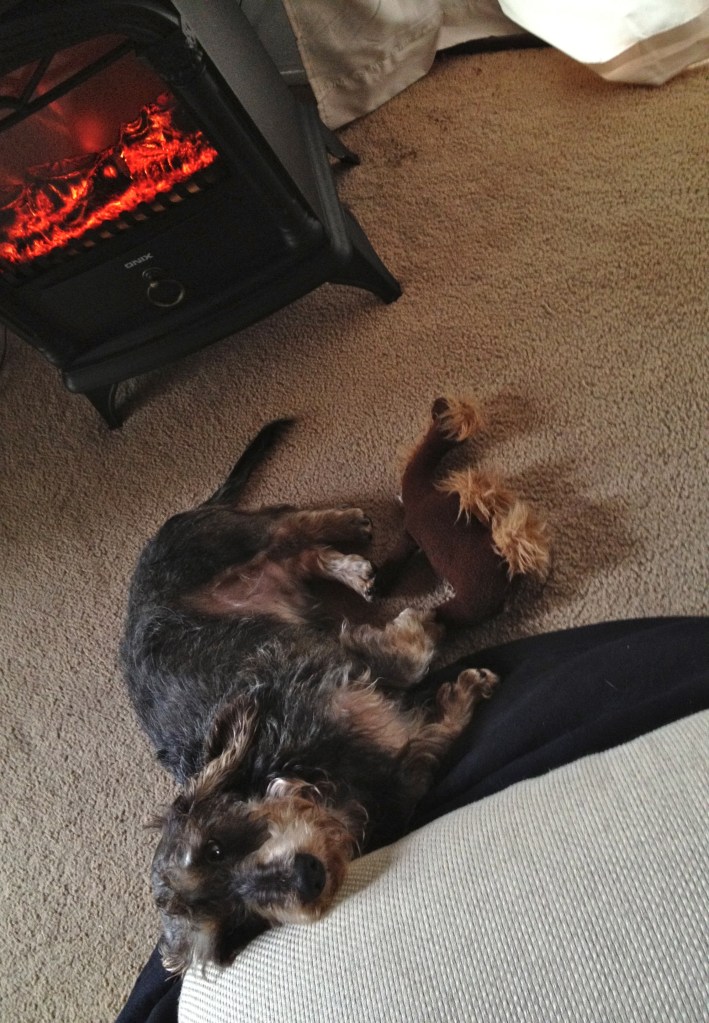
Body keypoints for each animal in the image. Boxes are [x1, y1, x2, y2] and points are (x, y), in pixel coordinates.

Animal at [120, 419, 499, 973]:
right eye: (239, 927)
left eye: (215, 848)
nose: (307, 878)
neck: (297, 766)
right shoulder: (395, 766)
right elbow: (425, 741)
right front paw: (460, 694)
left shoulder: (337, 665)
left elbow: (411, 655)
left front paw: (428, 627)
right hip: (281, 580)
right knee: (298, 556)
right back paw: (352, 569)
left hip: (223, 541)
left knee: (286, 525)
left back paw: (347, 525)